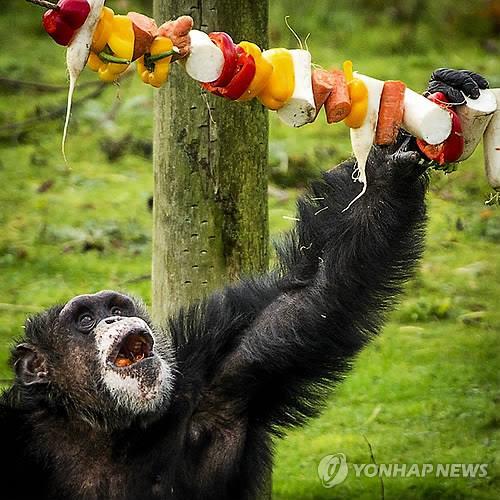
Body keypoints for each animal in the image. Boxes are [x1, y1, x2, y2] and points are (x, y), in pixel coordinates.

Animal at [0, 68, 488, 498]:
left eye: (117, 308)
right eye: (84, 320)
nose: (109, 319)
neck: (111, 429)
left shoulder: (224, 381)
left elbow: (315, 294)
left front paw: (394, 154)